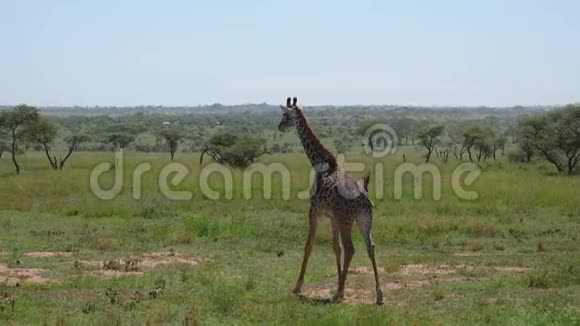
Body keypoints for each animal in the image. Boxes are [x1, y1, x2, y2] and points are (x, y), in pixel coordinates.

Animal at [278, 95, 382, 304]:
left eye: (286, 116)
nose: (279, 126)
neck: (319, 162)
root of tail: (364, 199)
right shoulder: (332, 217)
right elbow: (336, 248)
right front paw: (338, 283)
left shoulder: (315, 210)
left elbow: (309, 245)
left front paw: (298, 286)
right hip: (364, 220)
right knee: (370, 247)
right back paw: (378, 294)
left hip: (346, 221)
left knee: (351, 249)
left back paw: (339, 293)